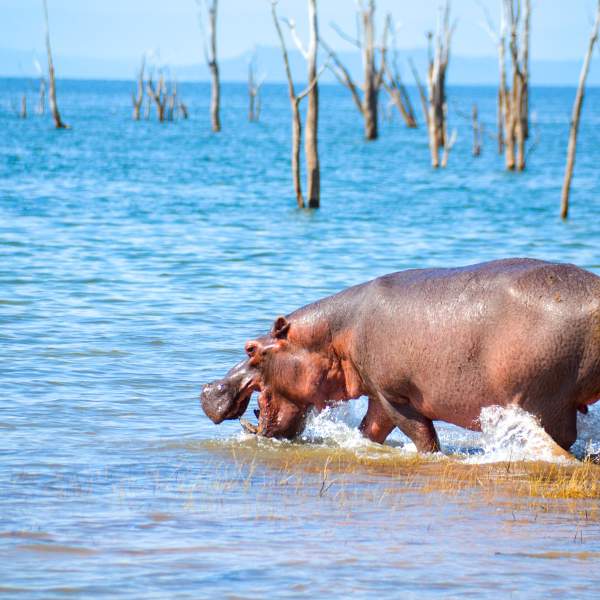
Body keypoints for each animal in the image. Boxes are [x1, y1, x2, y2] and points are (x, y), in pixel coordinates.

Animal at [202, 255, 600, 458]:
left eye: (251, 348)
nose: (208, 389)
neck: (333, 335)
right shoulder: (378, 396)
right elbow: (369, 431)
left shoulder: (395, 394)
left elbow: (422, 436)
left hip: (546, 403)